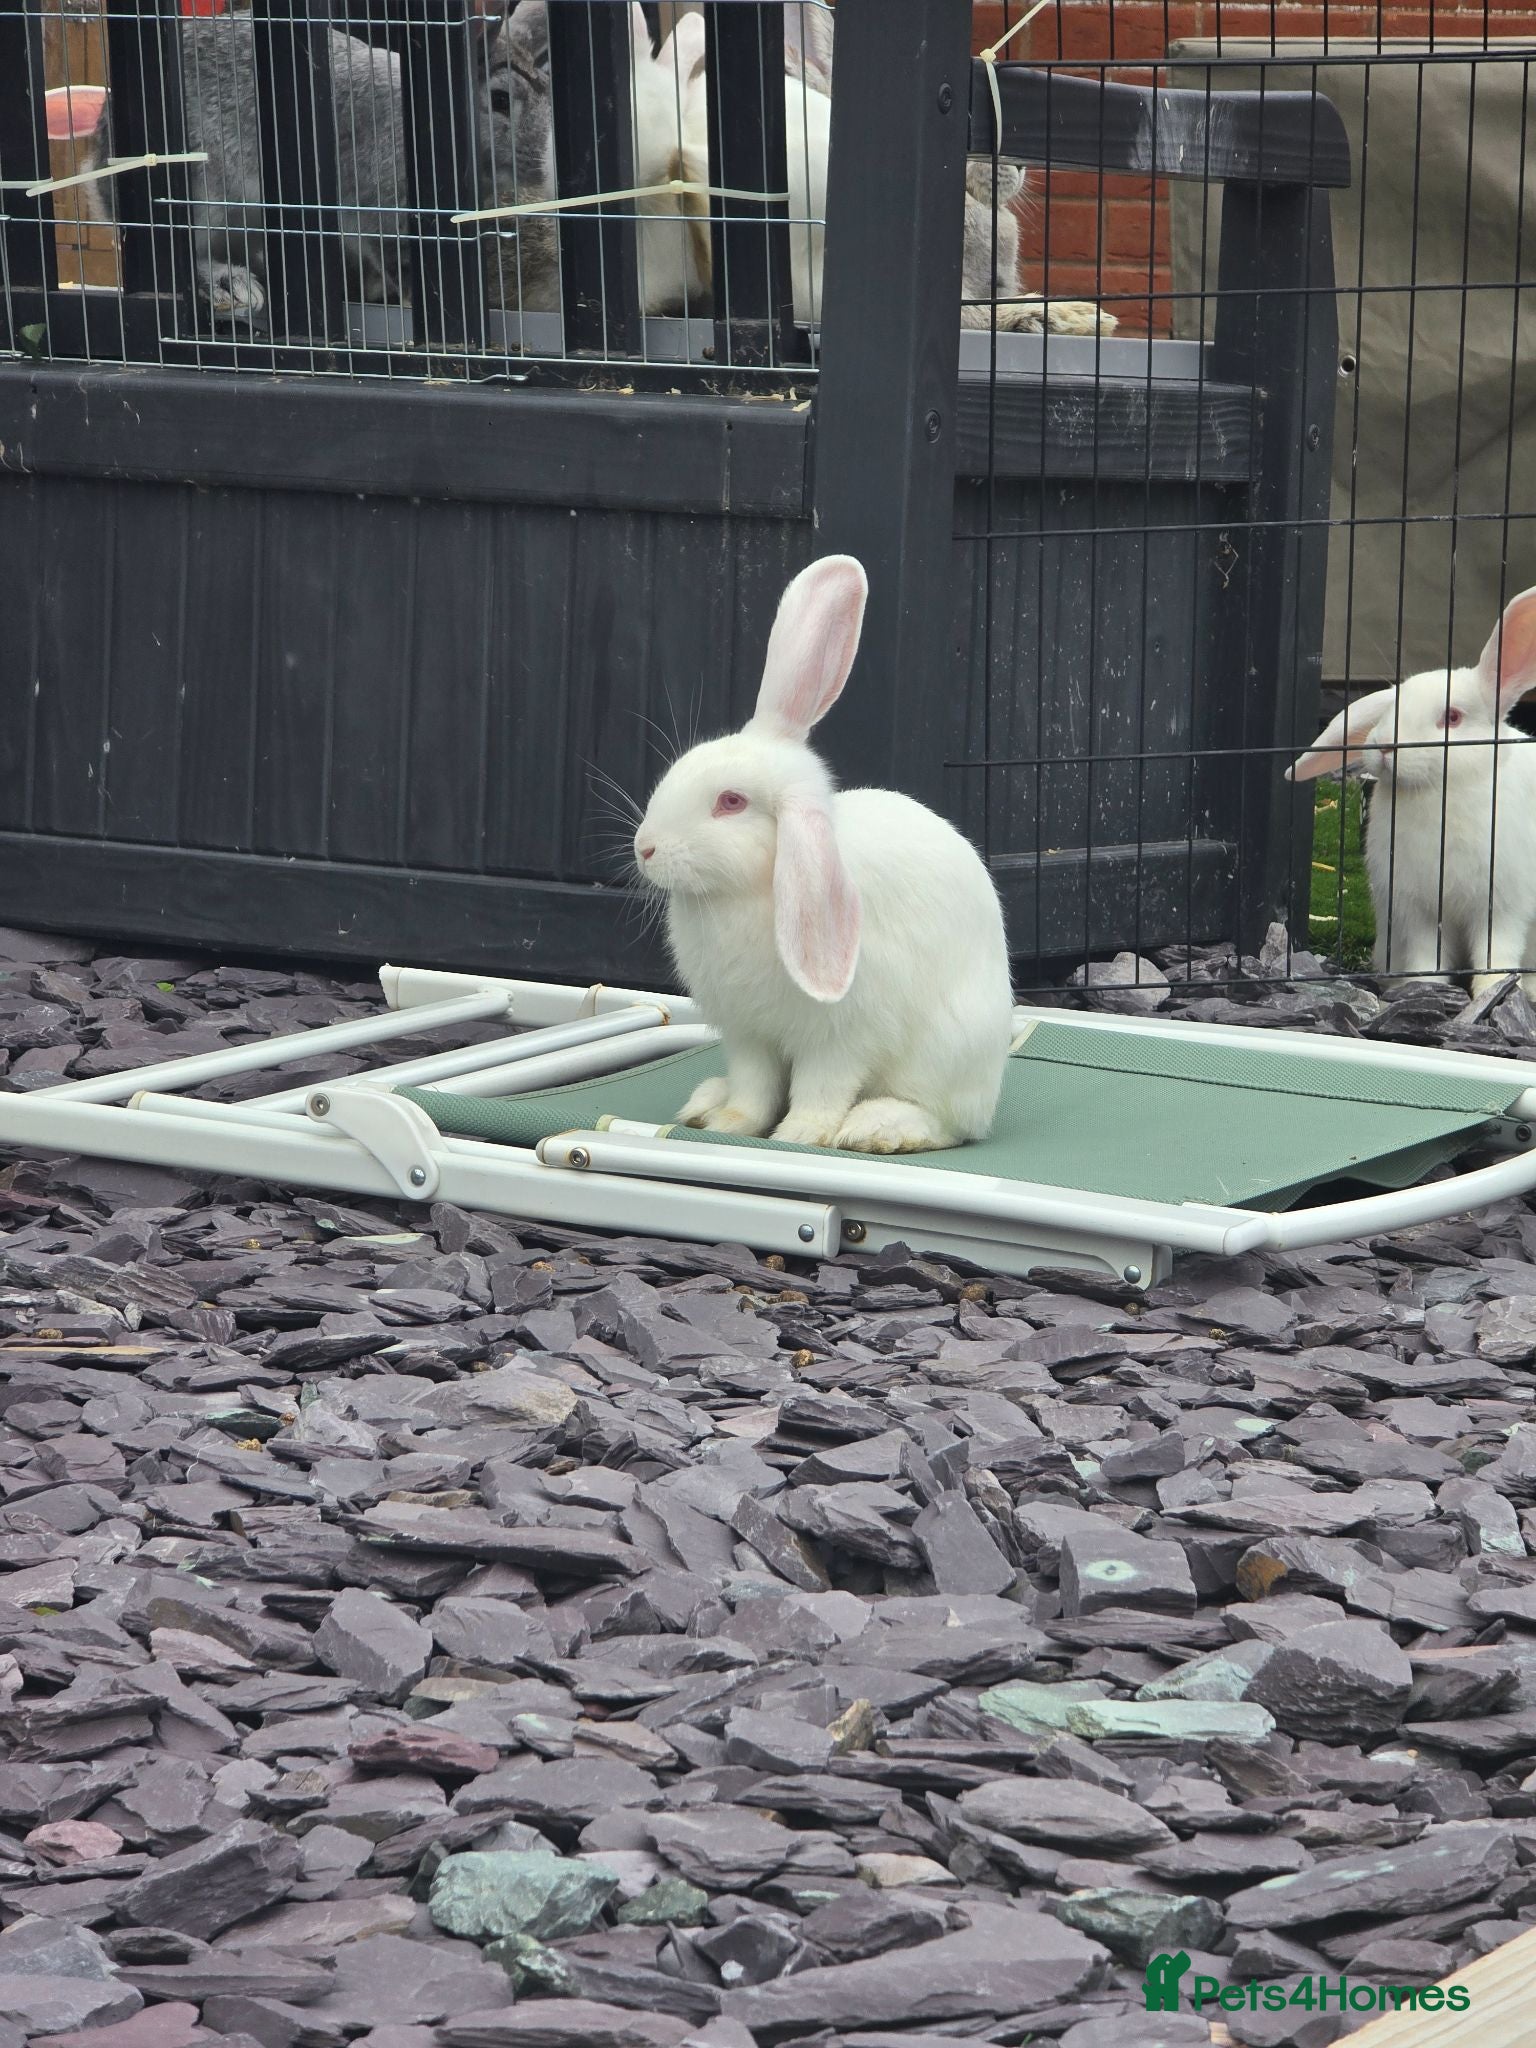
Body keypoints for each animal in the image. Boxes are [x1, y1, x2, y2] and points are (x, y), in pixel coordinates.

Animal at [632, 555, 1015, 1154]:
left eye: (731, 802)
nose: (643, 848)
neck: (750, 892)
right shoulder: (748, 1034)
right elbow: (754, 1086)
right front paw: (733, 1124)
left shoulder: (841, 1037)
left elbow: (822, 1086)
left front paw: (800, 1135)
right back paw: (706, 1103)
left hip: (949, 1051)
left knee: (949, 1123)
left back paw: (878, 1128)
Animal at [1287, 585, 1536, 996]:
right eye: (1392, 708)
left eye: (1452, 717)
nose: (1385, 745)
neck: (1439, 792)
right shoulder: (1416, 911)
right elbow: (1426, 957)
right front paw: (1420, 988)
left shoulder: (1501, 907)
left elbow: (1495, 954)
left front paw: (1492, 991)